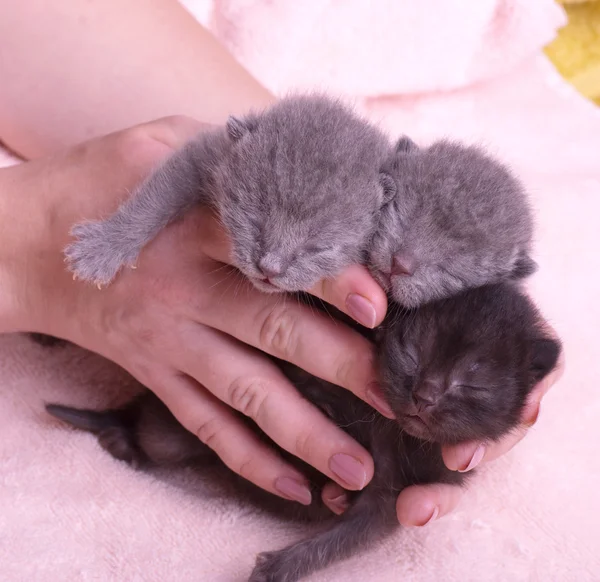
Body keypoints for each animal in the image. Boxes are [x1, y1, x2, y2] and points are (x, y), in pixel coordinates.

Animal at [44, 286, 560, 582]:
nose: (426, 395)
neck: (391, 428)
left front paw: (278, 568)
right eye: (412, 351)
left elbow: (354, 531)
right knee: (151, 428)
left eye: (474, 382)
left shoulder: (402, 490)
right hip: (175, 427)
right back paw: (99, 419)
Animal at [64, 98, 394, 296]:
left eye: (319, 247)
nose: (270, 268)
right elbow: (154, 200)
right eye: (254, 219)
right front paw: (104, 247)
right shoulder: (206, 153)